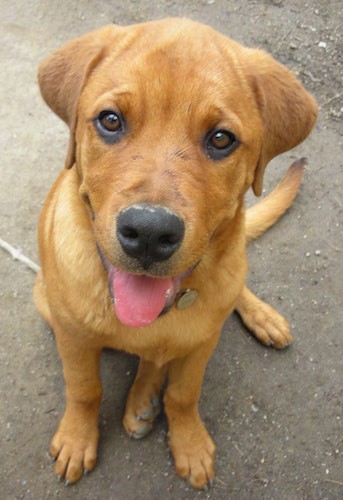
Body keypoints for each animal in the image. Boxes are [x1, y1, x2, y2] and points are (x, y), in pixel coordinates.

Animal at [33, 18, 318, 488]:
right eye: (110, 120)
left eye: (221, 138)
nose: (149, 232)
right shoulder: (73, 338)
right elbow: (84, 388)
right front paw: (76, 439)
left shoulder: (203, 342)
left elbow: (184, 394)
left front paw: (189, 443)